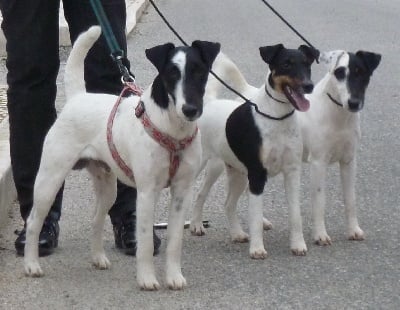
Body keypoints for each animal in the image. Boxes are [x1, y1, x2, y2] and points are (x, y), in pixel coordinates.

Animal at [23, 26, 220, 290]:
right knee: (34, 221)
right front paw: (147, 279)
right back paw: (31, 264)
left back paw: (98, 258)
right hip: (49, 182)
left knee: (96, 219)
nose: (190, 110)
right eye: (171, 74)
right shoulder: (146, 193)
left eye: (200, 72)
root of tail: (77, 98)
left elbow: (175, 240)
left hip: (108, 188)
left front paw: (173, 277)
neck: (172, 130)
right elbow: (145, 241)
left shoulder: (181, 192)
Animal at [191, 43, 318, 256]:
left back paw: (237, 233)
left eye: (307, 64)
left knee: (228, 204)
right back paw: (196, 225)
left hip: (238, 174)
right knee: (200, 194)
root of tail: (209, 103)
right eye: (286, 64)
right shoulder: (258, 174)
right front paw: (258, 249)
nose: (309, 85)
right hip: (206, 166)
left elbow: (295, 214)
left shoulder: (292, 172)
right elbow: (256, 217)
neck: (277, 117)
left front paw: (298, 245)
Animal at [300, 49, 382, 246]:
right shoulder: (318, 163)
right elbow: (319, 201)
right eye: (339, 73)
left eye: (362, 73)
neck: (338, 116)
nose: (353, 103)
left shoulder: (349, 161)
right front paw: (320, 234)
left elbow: (350, 200)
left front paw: (353, 230)